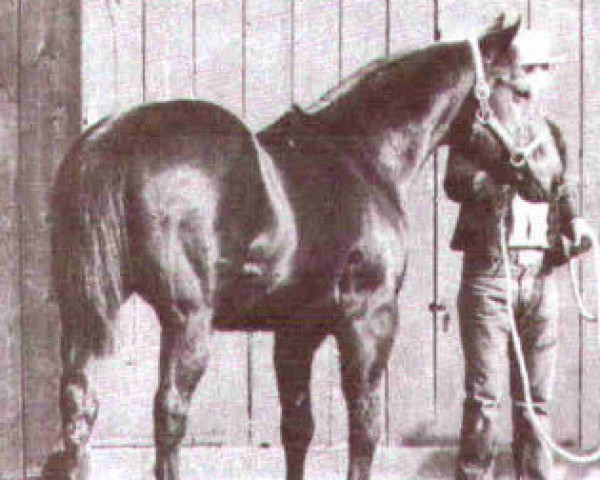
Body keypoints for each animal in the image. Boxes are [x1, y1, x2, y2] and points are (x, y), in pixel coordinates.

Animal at [43, 16, 520, 480]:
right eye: (517, 87)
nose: (530, 173)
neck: (362, 157)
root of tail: (112, 140)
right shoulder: (370, 319)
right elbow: (363, 427)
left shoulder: (296, 330)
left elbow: (297, 429)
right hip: (188, 319)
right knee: (169, 413)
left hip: (81, 313)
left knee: (78, 403)